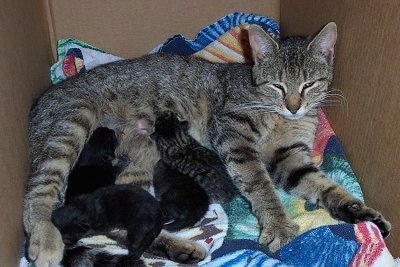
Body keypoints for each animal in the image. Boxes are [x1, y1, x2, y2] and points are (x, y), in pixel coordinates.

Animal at [22, 22, 390, 267]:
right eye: (277, 85)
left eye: (310, 84)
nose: (294, 106)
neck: (280, 116)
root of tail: (38, 104)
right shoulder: (234, 136)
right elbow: (260, 184)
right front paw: (278, 225)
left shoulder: (291, 156)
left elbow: (323, 185)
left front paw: (359, 211)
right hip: (71, 125)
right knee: (38, 195)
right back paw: (45, 238)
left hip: (137, 167)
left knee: (124, 225)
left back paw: (178, 249)